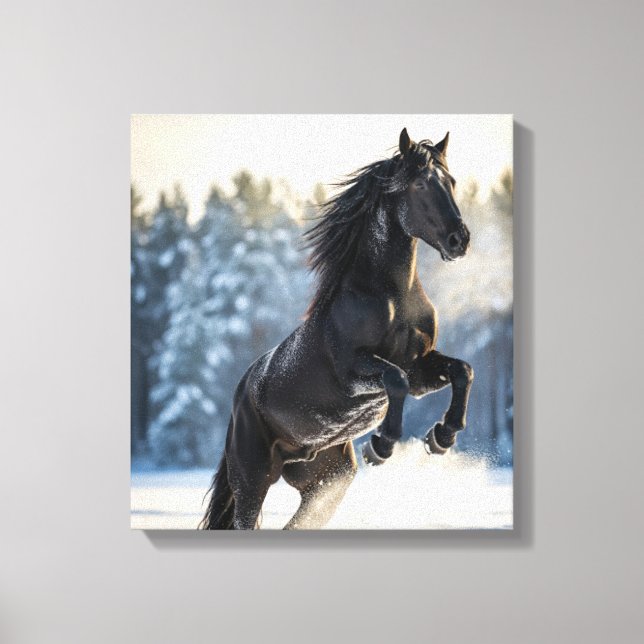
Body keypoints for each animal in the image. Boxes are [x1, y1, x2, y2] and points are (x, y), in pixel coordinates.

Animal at [200, 127, 473, 530]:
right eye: (421, 183)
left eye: (451, 181)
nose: (460, 240)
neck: (391, 297)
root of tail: (239, 396)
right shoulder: (354, 372)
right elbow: (394, 379)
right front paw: (382, 445)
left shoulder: (420, 369)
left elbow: (462, 370)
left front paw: (442, 436)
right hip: (251, 478)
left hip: (327, 482)